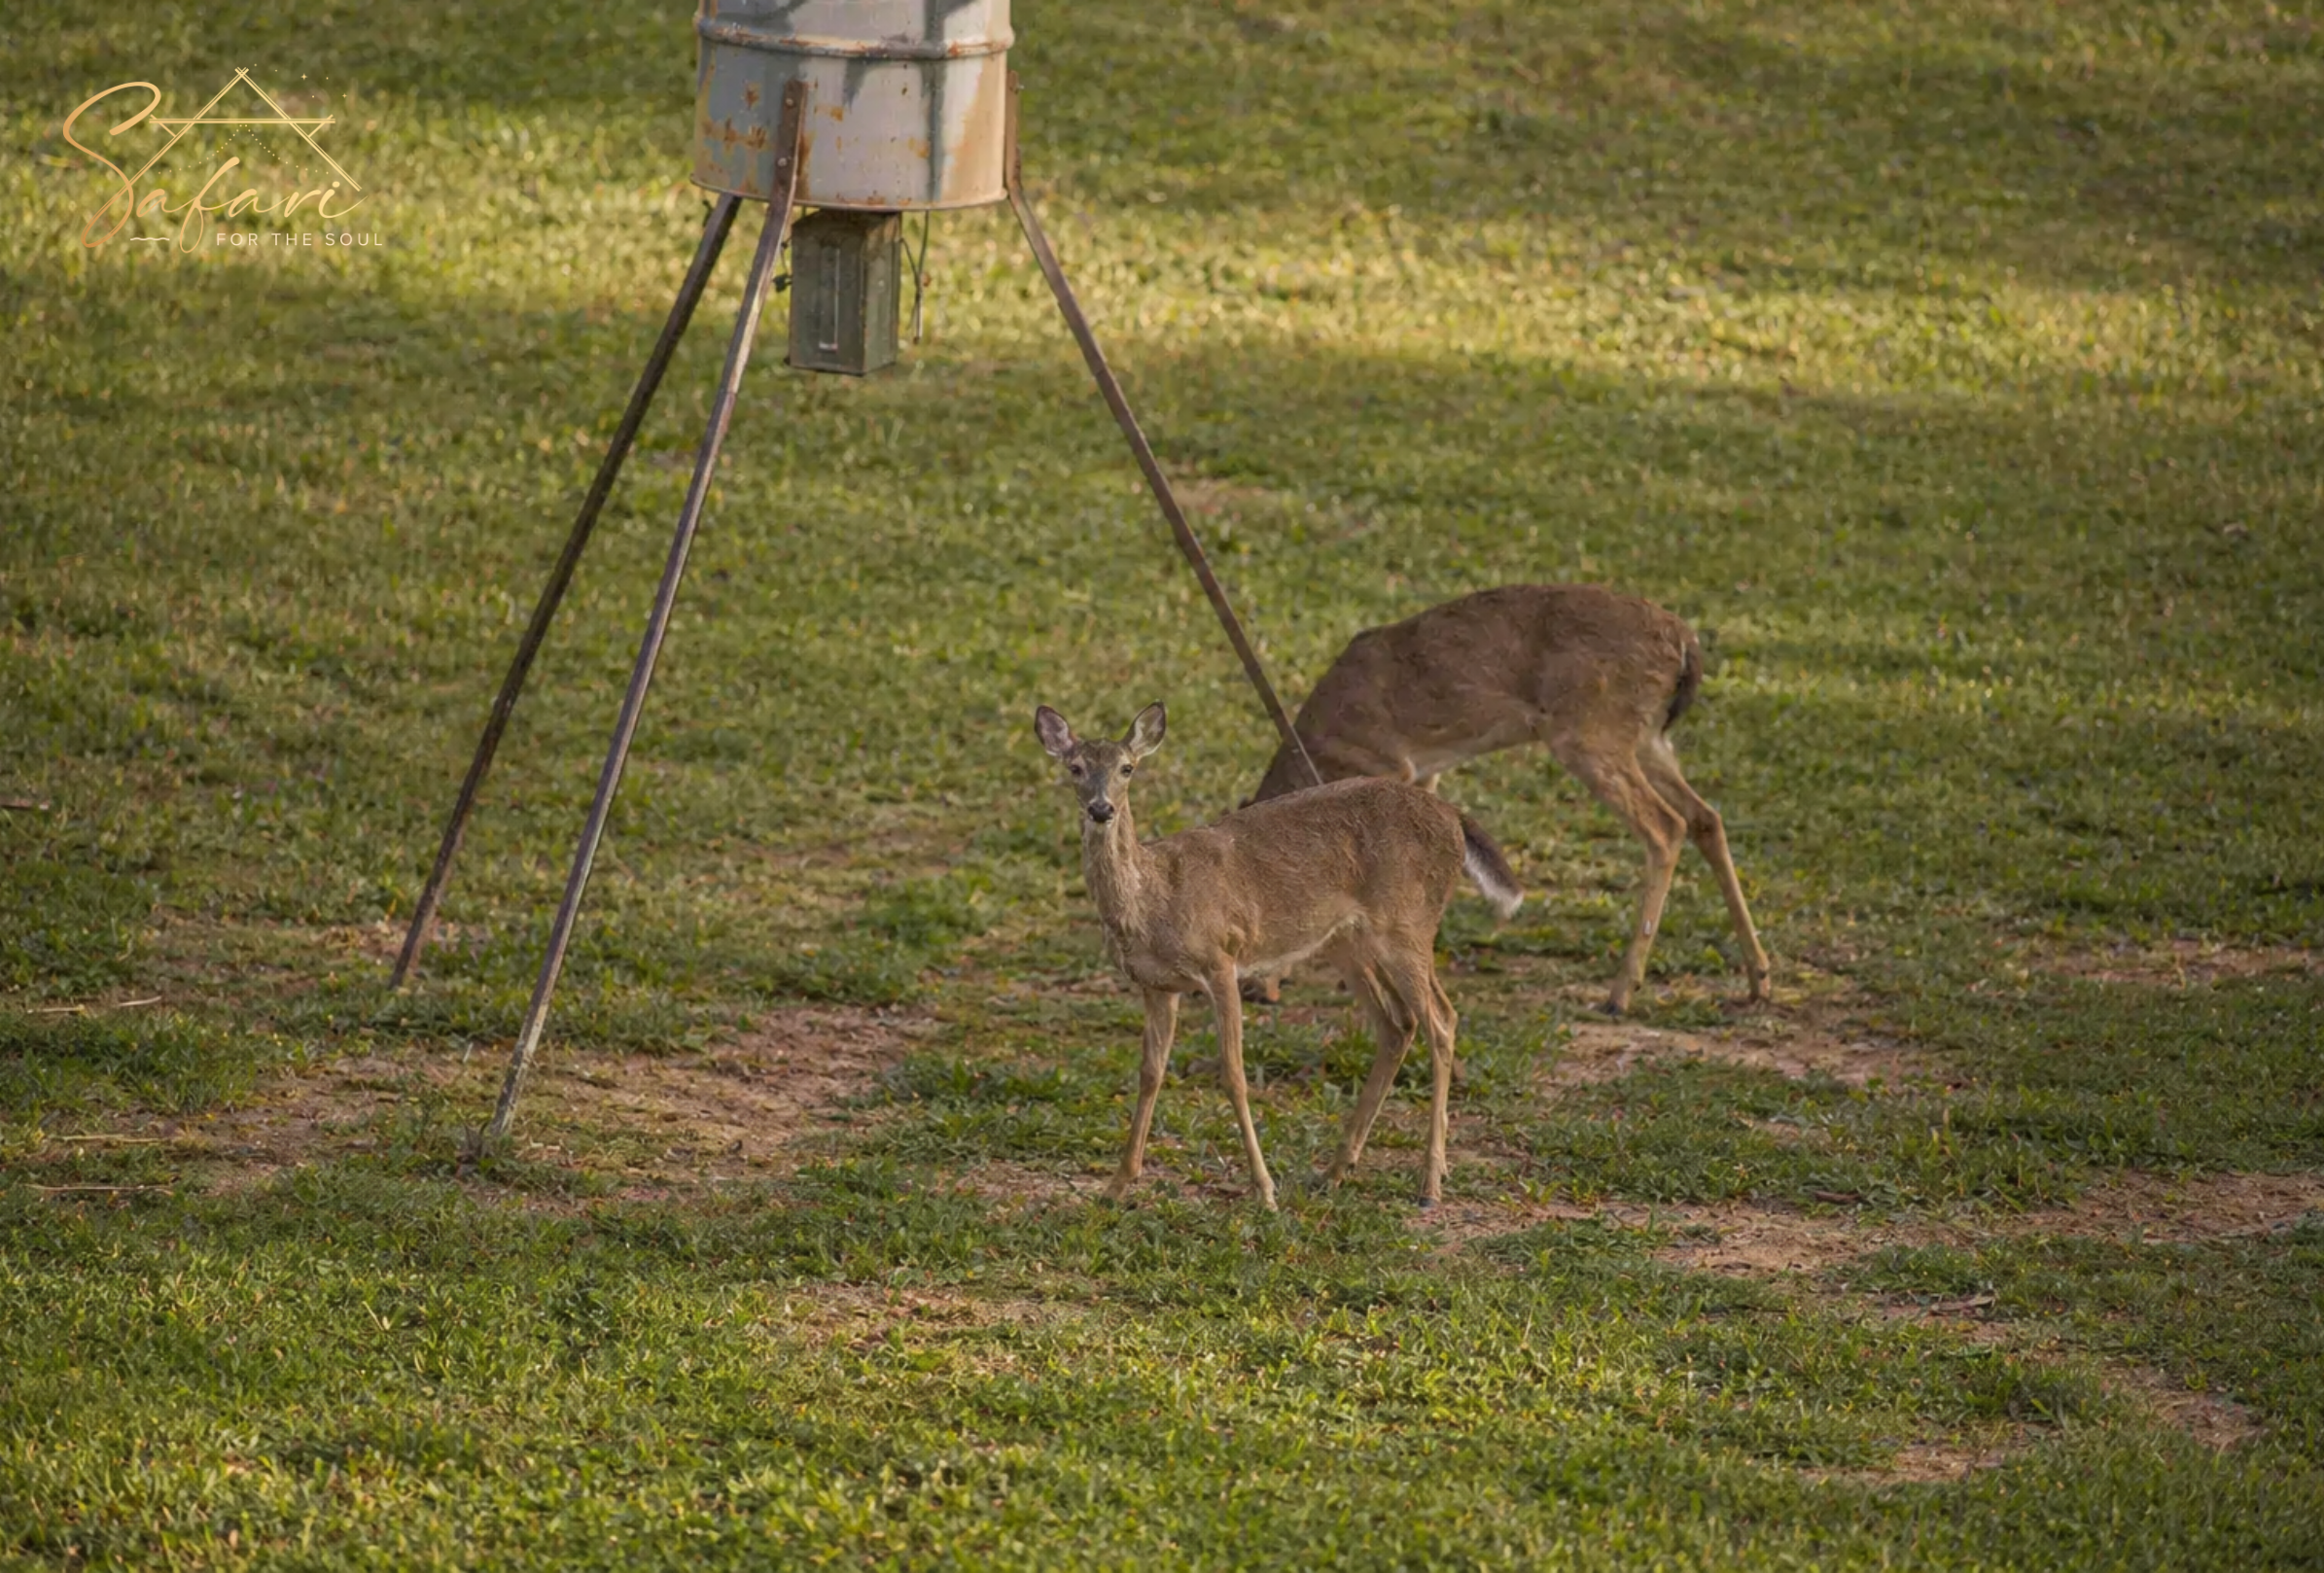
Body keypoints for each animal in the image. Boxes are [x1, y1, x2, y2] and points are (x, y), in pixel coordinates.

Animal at [1035, 702, 1521, 1210]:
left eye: (1127, 768)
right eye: (1075, 768)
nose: (1101, 809)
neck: (1153, 899)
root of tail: (1455, 818)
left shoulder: (1220, 959)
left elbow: (1233, 1074)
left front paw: (1265, 1190)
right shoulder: (1157, 984)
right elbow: (1150, 1074)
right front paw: (1116, 1185)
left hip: (1407, 925)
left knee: (1441, 1020)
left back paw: (1429, 1184)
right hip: (1347, 941)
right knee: (1398, 1024)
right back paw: (1336, 1170)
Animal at [1246, 584, 1771, 1017]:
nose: (1253, 989)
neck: (1321, 750)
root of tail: (1684, 643)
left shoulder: (1387, 766)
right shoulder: (1425, 773)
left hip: (1591, 733)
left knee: (1665, 826)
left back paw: (1620, 994)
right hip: (1648, 739)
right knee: (1706, 816)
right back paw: (1758, 978)